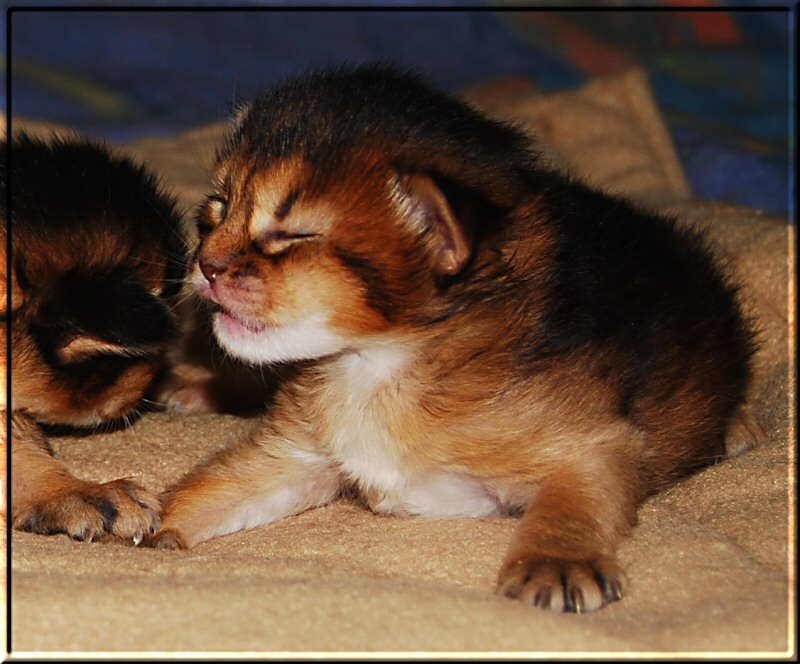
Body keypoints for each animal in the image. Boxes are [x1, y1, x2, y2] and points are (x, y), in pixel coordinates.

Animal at [148, 66, 764, 612]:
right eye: (218, 208)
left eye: (292, 234)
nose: (204, 264)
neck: (377, 364)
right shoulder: (299, 453)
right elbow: (220, 486)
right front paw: (148, 520)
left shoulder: (597, 443)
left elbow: (574, 500)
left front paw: (556, 563)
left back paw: (738, 427)